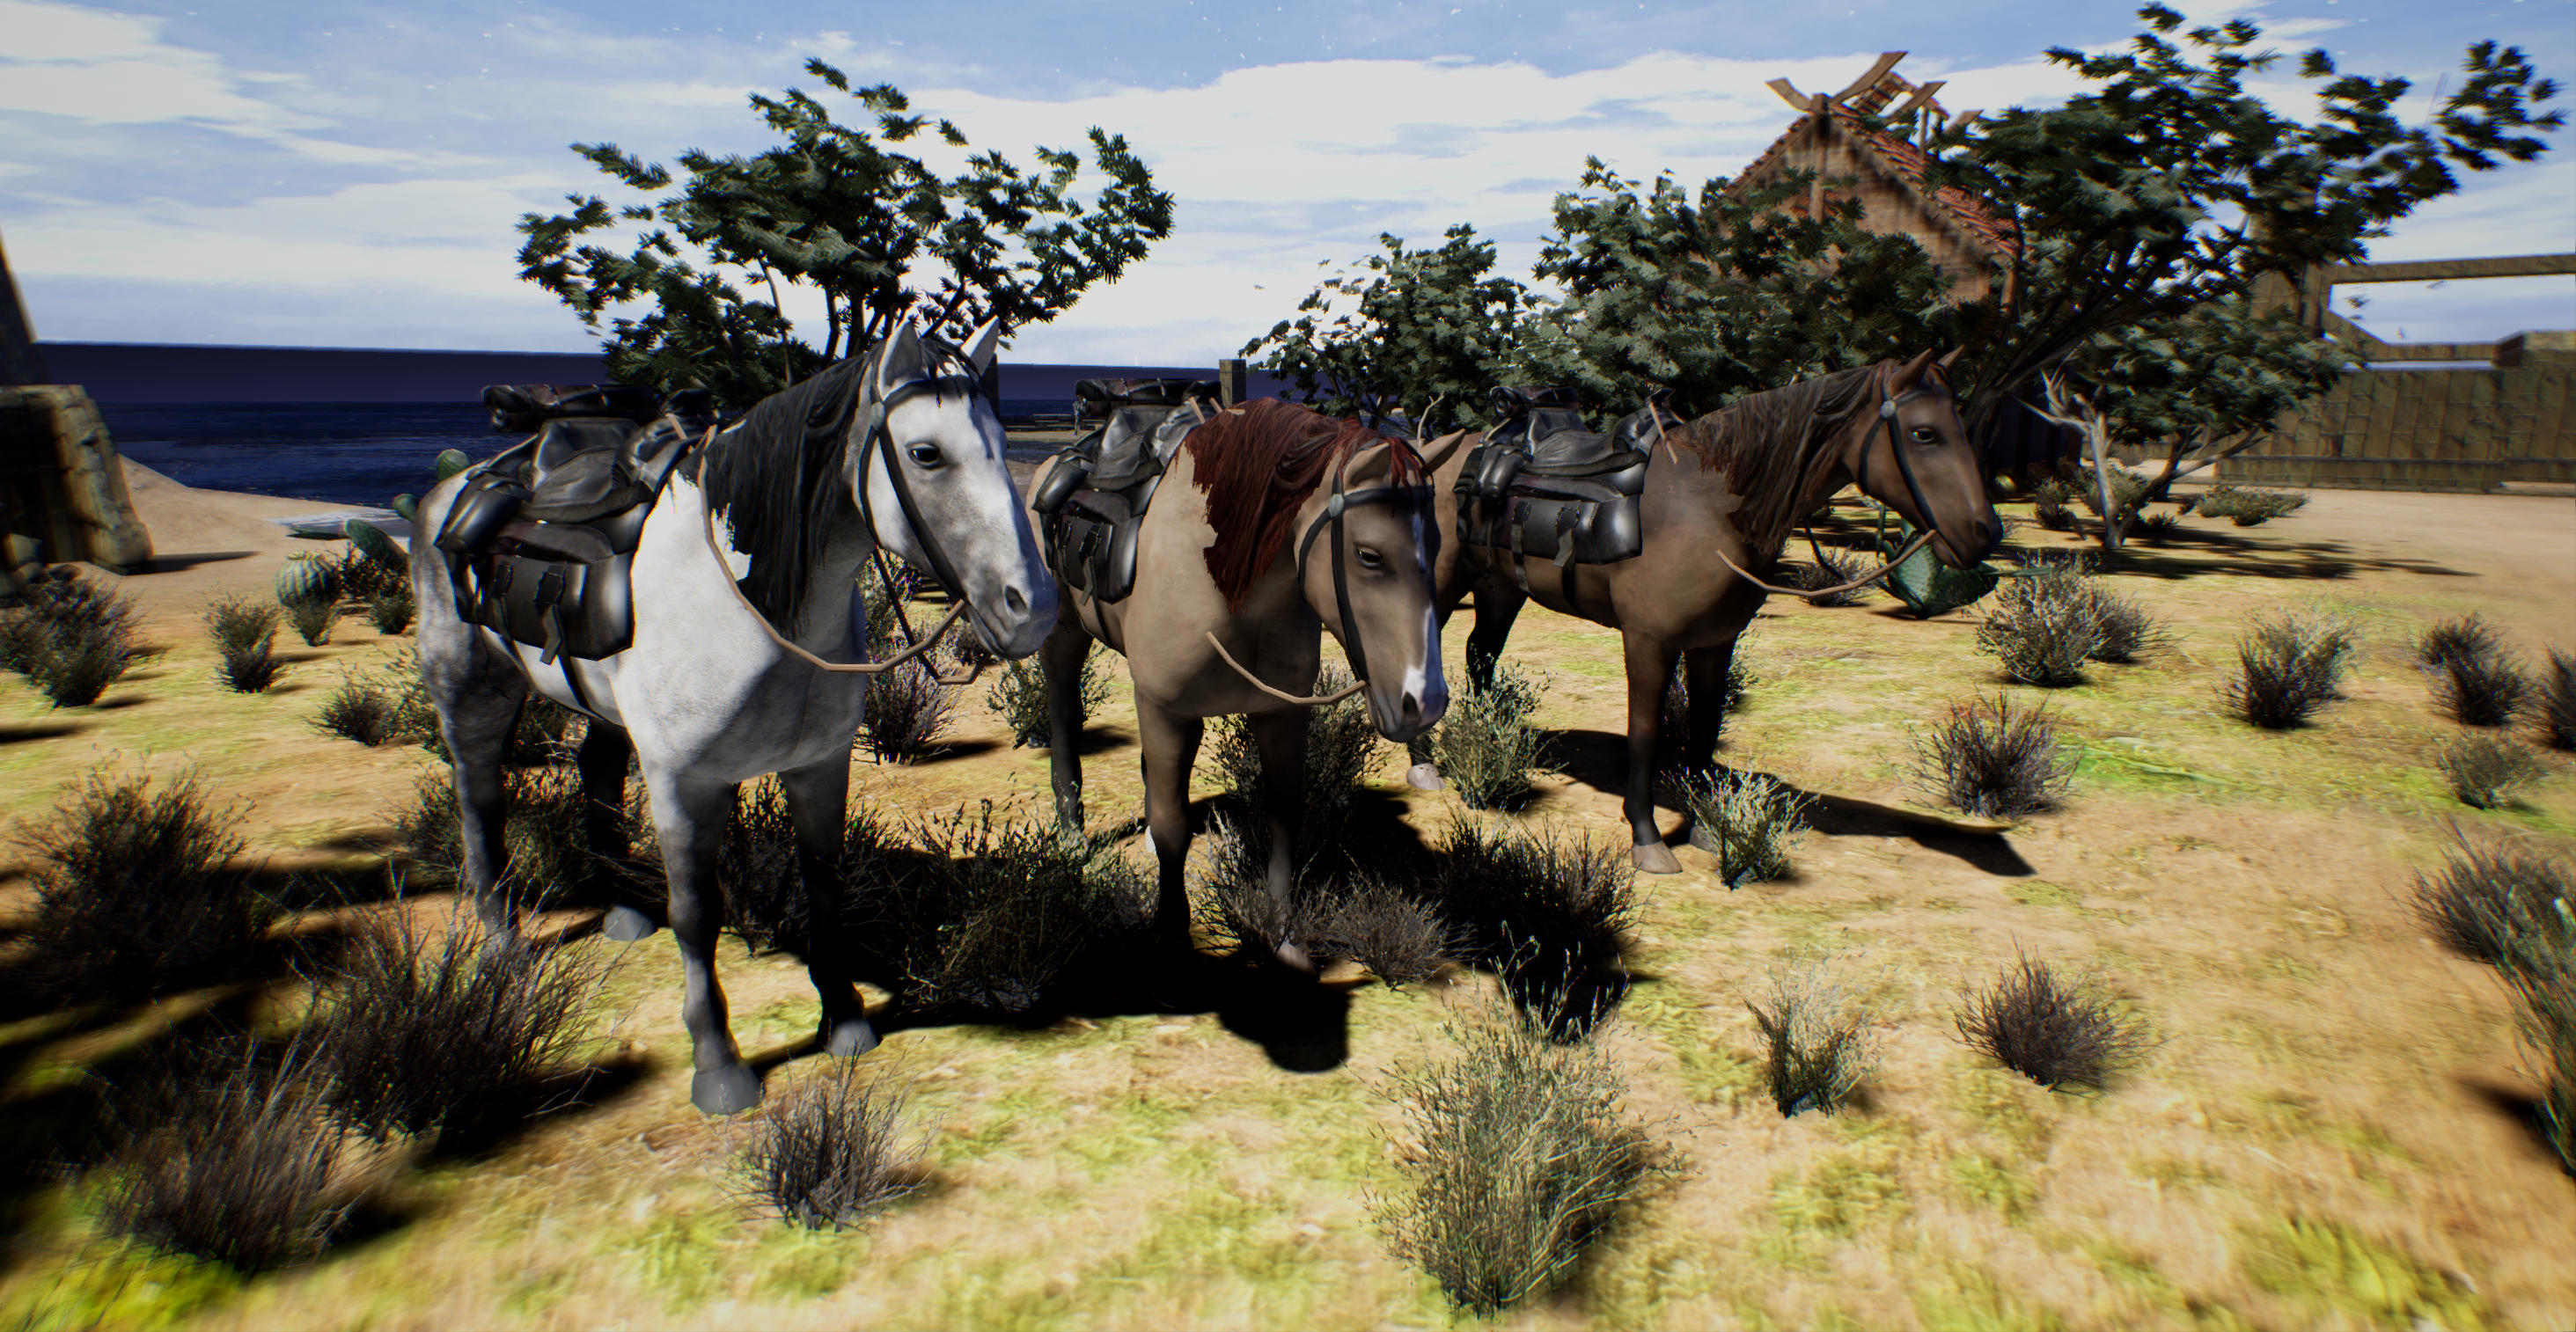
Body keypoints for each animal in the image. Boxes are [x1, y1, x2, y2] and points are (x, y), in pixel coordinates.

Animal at [412, 321, 1056, 1114]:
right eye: (925, 453)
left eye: (1002, 438)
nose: (1033, 608)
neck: (755, 608)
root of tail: (455, 487)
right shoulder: (683, 782)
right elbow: (698, 912)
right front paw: (718, 1065)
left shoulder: (818, 765)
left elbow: (822, 881)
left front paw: (843, 1019)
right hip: (472, 689)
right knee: (479, 795)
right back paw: (502, 941)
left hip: (601, 710)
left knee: (596, 772)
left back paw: (623, 910)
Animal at [1031, 398, 1450, 972]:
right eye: (1369, 556)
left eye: (1438, 544)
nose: (1425, 703)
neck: (1227, 584)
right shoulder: (1167, 711)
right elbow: (1172, 826)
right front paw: (1173, 937)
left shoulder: (1282, 714)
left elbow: (1284, 813)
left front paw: (1282, 935)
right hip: (1067, 631)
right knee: (1064, 705)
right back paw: (1071, 832)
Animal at [1412, 348, 2000, 873]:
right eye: (1924, 433)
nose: (1984, 533)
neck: (1709, 505)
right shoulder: (1648, 640)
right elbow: (1646, 733)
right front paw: (1648, 838)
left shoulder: (1716, 642)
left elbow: (1704, 729)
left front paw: (1704, 824)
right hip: (1441, 584)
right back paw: (1426, 764)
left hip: (1500, 587)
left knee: (1481, 655)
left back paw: (1488, 741)